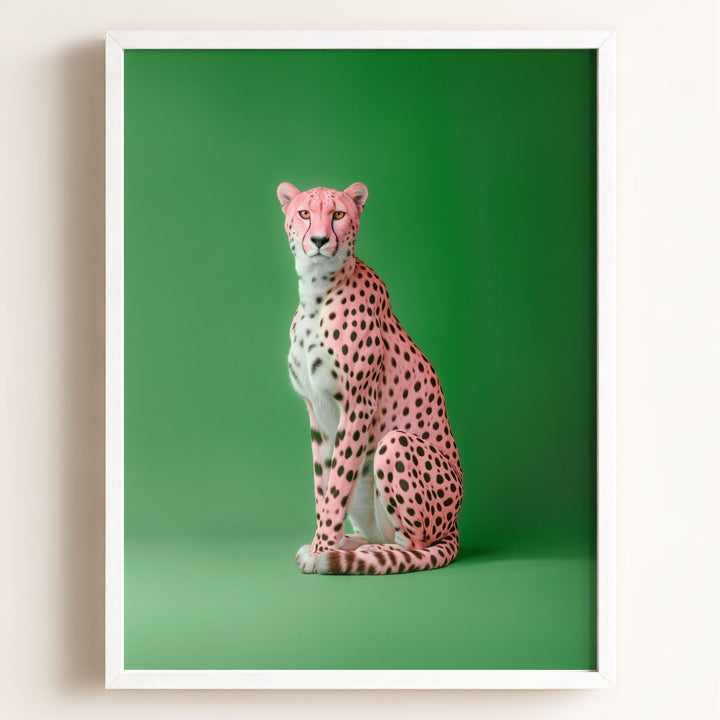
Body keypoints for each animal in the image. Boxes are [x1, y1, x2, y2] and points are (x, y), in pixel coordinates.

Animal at [278, 181, 463, 575]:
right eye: (304, 213)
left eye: (338, 214)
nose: (319, 240)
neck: (316, 291)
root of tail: (455, 525)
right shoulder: (317, 411)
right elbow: (323, 485)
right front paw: (321, 543)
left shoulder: (358, 405)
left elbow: (336, 489)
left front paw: (322, 550)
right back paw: (351, 544)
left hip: (394, 444)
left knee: (415, 546)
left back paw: (360, 554)